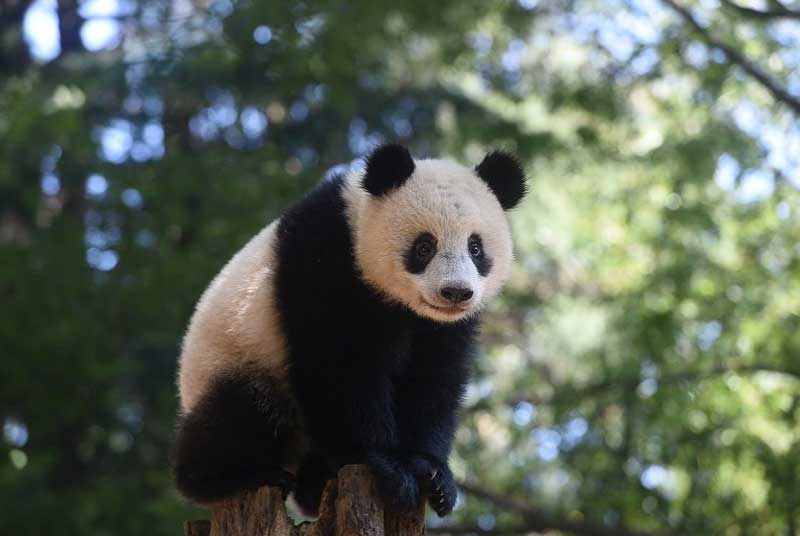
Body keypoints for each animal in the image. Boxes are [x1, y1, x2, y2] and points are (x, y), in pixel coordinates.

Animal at [174, 144, 526, 518]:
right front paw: (387, 466)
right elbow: (339, 368)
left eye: (475, 247)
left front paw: (433, 475)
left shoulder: (440, 327)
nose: (456, 293)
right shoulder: (325, 262)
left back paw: (313, 486)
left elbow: (434, 379)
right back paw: (234, 476)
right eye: (424, 246)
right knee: (243, 411)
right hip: (238, 357)